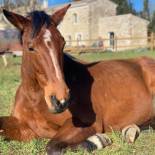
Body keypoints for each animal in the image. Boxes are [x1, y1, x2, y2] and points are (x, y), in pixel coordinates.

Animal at [0, 3, 155, 155]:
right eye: (30, 47)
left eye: (62, 43)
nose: (61, 100)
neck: (34, 99)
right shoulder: (25, 128)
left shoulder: (87, 122)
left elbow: (52, 146)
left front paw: (99, 139)